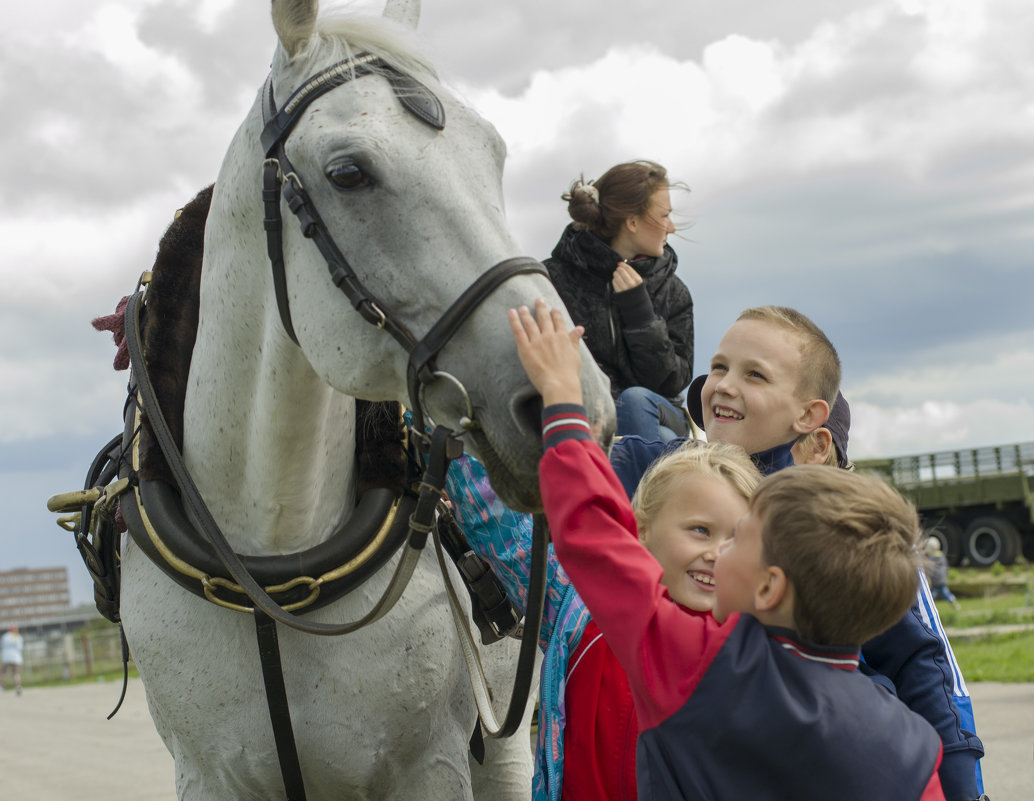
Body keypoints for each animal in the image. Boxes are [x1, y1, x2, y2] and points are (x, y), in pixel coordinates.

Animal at [117, 1, 612, 801]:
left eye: (493, 154)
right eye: (350, 173)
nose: (575, 401)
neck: (271, 570)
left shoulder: (430, 767)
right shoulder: (207, 774)